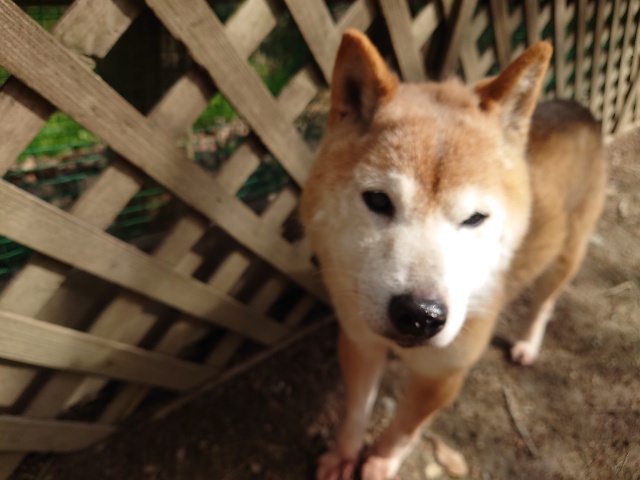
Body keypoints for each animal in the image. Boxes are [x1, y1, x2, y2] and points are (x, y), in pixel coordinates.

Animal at [300, 29, 606, 480]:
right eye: (378, 200)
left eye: (475, 218)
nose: (419, 315)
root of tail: (579, 107)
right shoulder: (360, 340)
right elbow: (356, 409)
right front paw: (345, 453)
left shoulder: (444, 373)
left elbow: (406, 427)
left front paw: (381, 461)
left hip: (568, 254)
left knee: (546, 302)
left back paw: (528, 343)